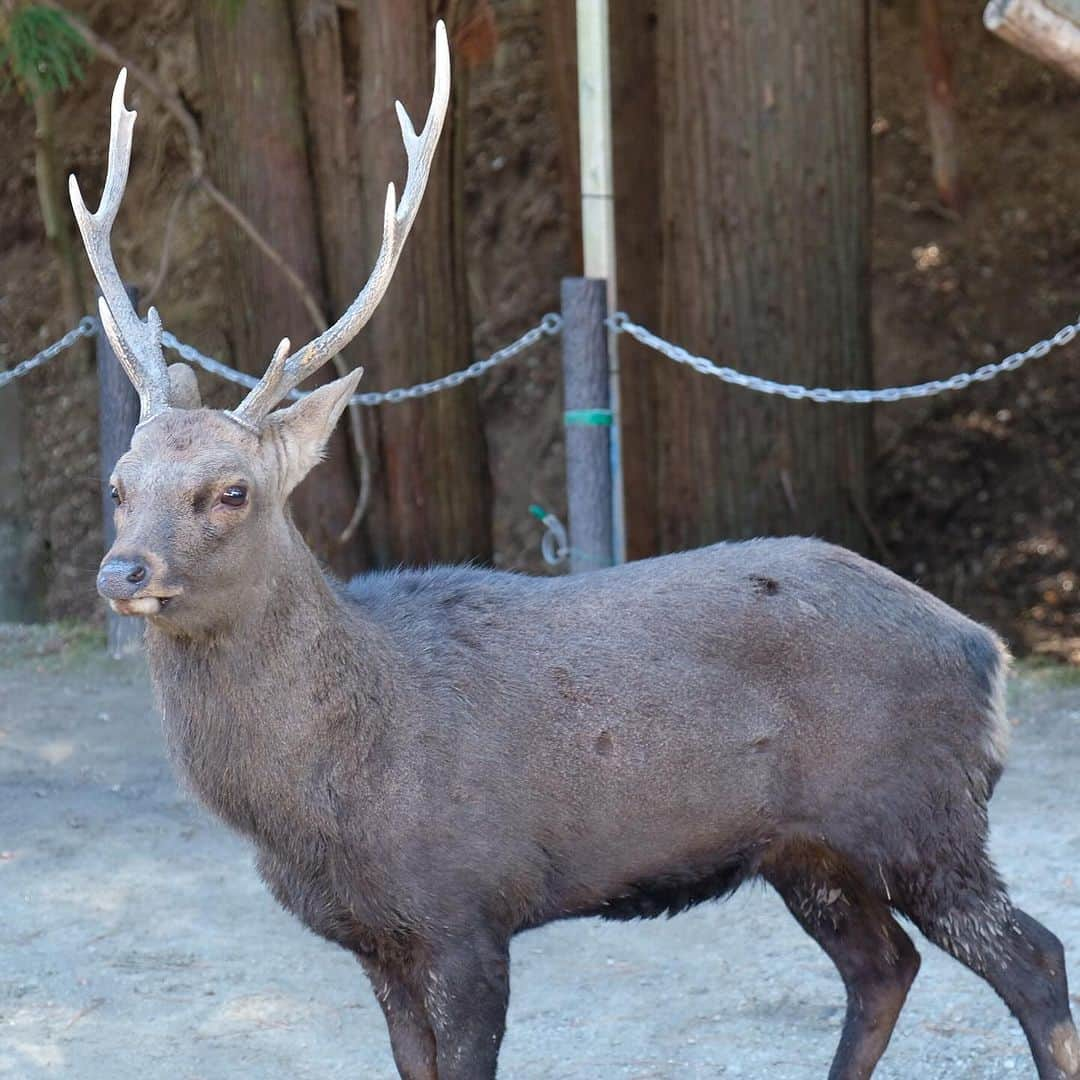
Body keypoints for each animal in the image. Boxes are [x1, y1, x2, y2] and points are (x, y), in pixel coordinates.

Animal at [71, 19, 1075, 1080]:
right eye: (118, 485)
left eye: (233, 490)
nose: (122, 571)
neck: (326, 799)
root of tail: (987, 650)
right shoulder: (378, 938)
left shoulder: (467, 909)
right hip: (809, 848)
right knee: (882, 966)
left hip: (920, 811)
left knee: (1033, 958)